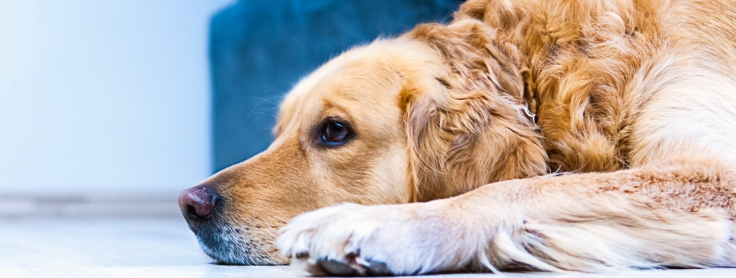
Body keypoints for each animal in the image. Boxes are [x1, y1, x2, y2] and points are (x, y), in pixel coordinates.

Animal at [177, 0, 736, 274]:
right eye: (278, 134)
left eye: (334, 131)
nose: (190, 204)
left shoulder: (717, 174)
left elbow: (518, 188)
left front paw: (377, 226)